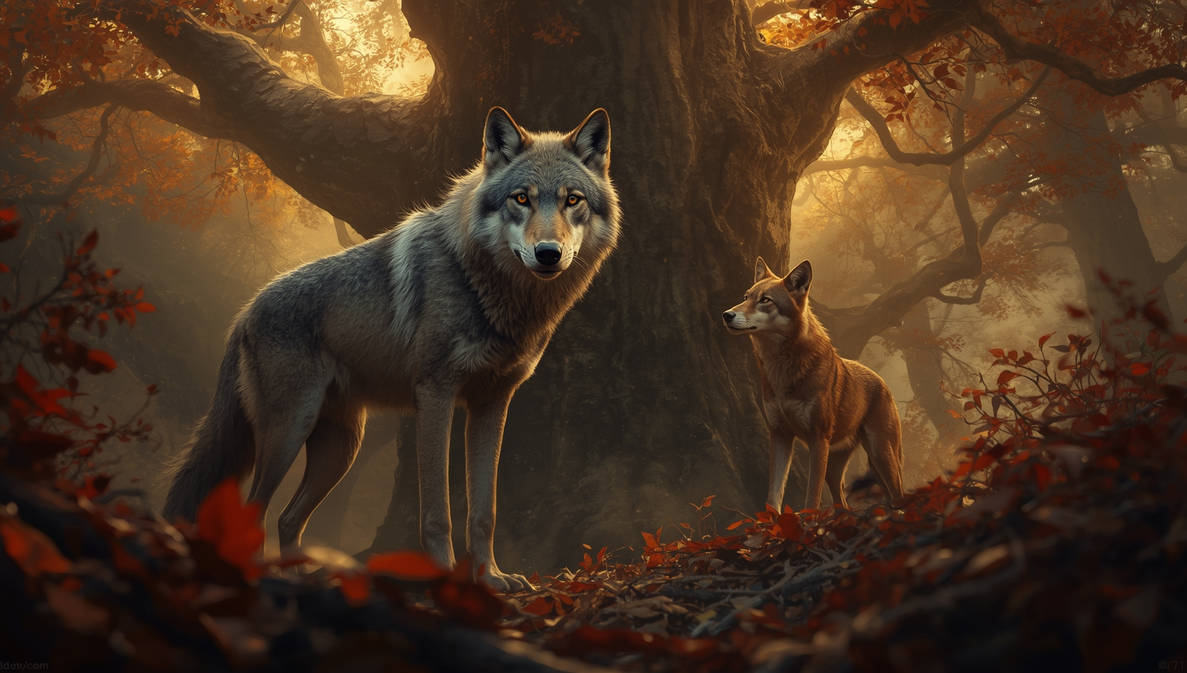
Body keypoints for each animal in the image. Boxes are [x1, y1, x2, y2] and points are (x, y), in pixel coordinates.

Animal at [163, 107, 620, 592]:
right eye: (521, 199)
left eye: (572, 200)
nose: (548, 253)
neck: (485, 287)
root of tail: (245, 312)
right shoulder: (435, 395)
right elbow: (437, 512)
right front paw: (448, 580)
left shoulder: (493, 404)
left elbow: (484, 511)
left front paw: (491, 579)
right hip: (288, 433)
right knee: (257, 511)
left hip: (341, 449)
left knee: (288, 518)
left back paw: (303, 577)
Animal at [722, 258, 904, 511]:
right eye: (746, 296)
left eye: (765, 300)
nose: (726, 314)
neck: (782, 367)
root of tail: (881, 380)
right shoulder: (779, 435)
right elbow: (773, 494)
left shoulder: (818, 438)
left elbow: (812, 497)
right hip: (836, 467)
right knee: (842, 503)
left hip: (881, 455)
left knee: (898, 495)